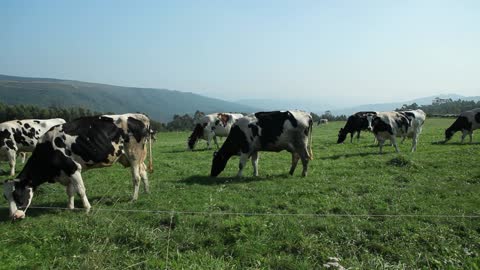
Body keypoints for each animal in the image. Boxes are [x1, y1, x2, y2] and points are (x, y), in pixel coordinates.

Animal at [2, 113, 152, 220]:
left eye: (18, 195)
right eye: (6, 198)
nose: (14, 217)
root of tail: (138, 116)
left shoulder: (73, 168)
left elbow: (80, 190)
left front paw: (87, 209)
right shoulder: (66, 172)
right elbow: (70, 191)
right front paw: (70, 208)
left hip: (134, 155)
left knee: (136, 177)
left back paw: (133, 199)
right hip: (132, 157)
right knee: (143, 172)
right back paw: (146, 191)